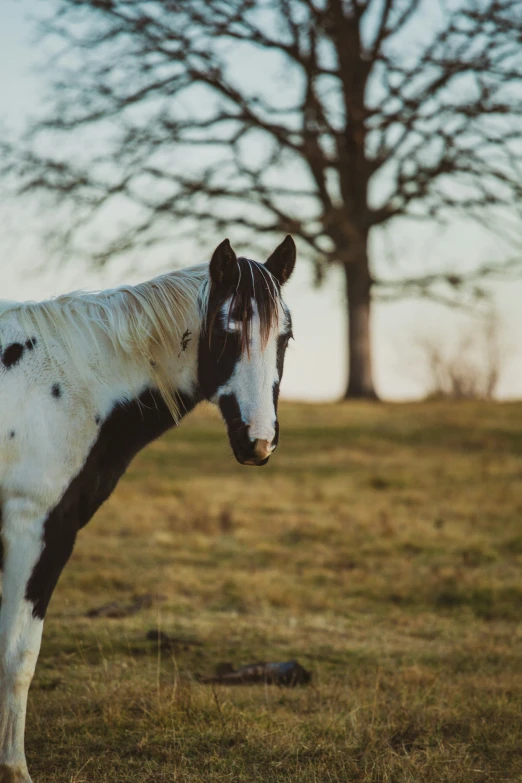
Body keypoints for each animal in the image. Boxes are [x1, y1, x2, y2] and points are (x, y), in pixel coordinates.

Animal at [0, 236, 292, 780]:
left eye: (284, 336)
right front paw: (14, 768)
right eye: (225, 331)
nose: (258, 442)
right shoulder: (35, 531)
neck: (61, 387)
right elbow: (18, 654)